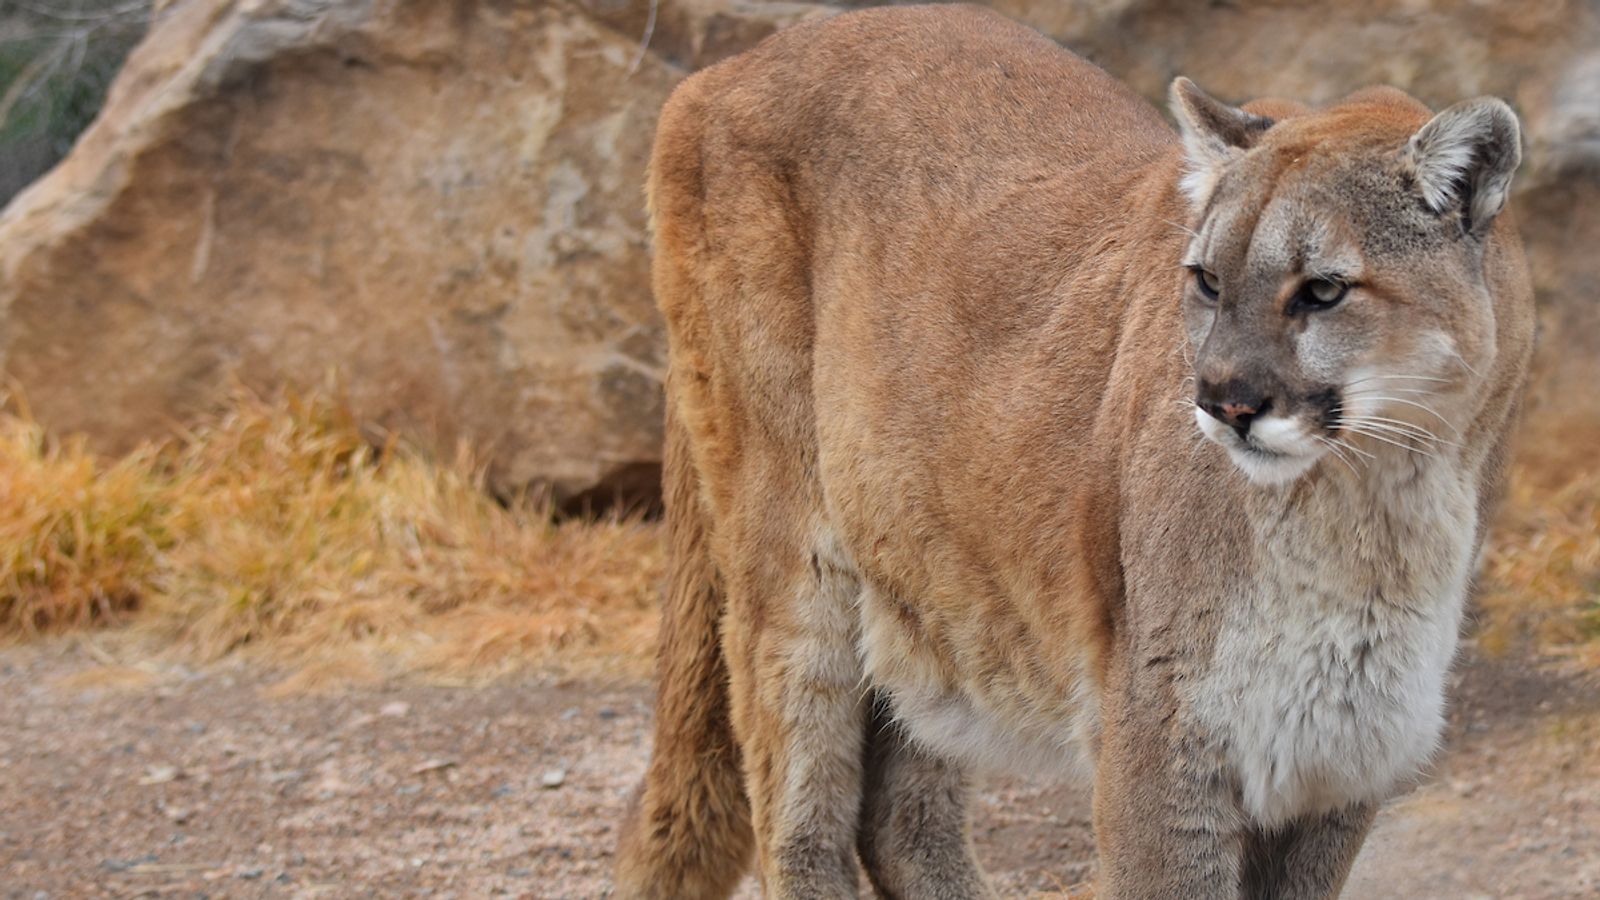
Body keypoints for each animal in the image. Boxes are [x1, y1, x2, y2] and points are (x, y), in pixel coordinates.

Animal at [614, 5, 1534, 898]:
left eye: (1324, 291)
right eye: (1207, 280)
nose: (1222, 402)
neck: (1375, 506)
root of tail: (723, 69)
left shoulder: (1341, 766)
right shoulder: (1163, 747)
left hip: (938, 573)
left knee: (900, 816)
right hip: (795, 560)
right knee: (798, 818)